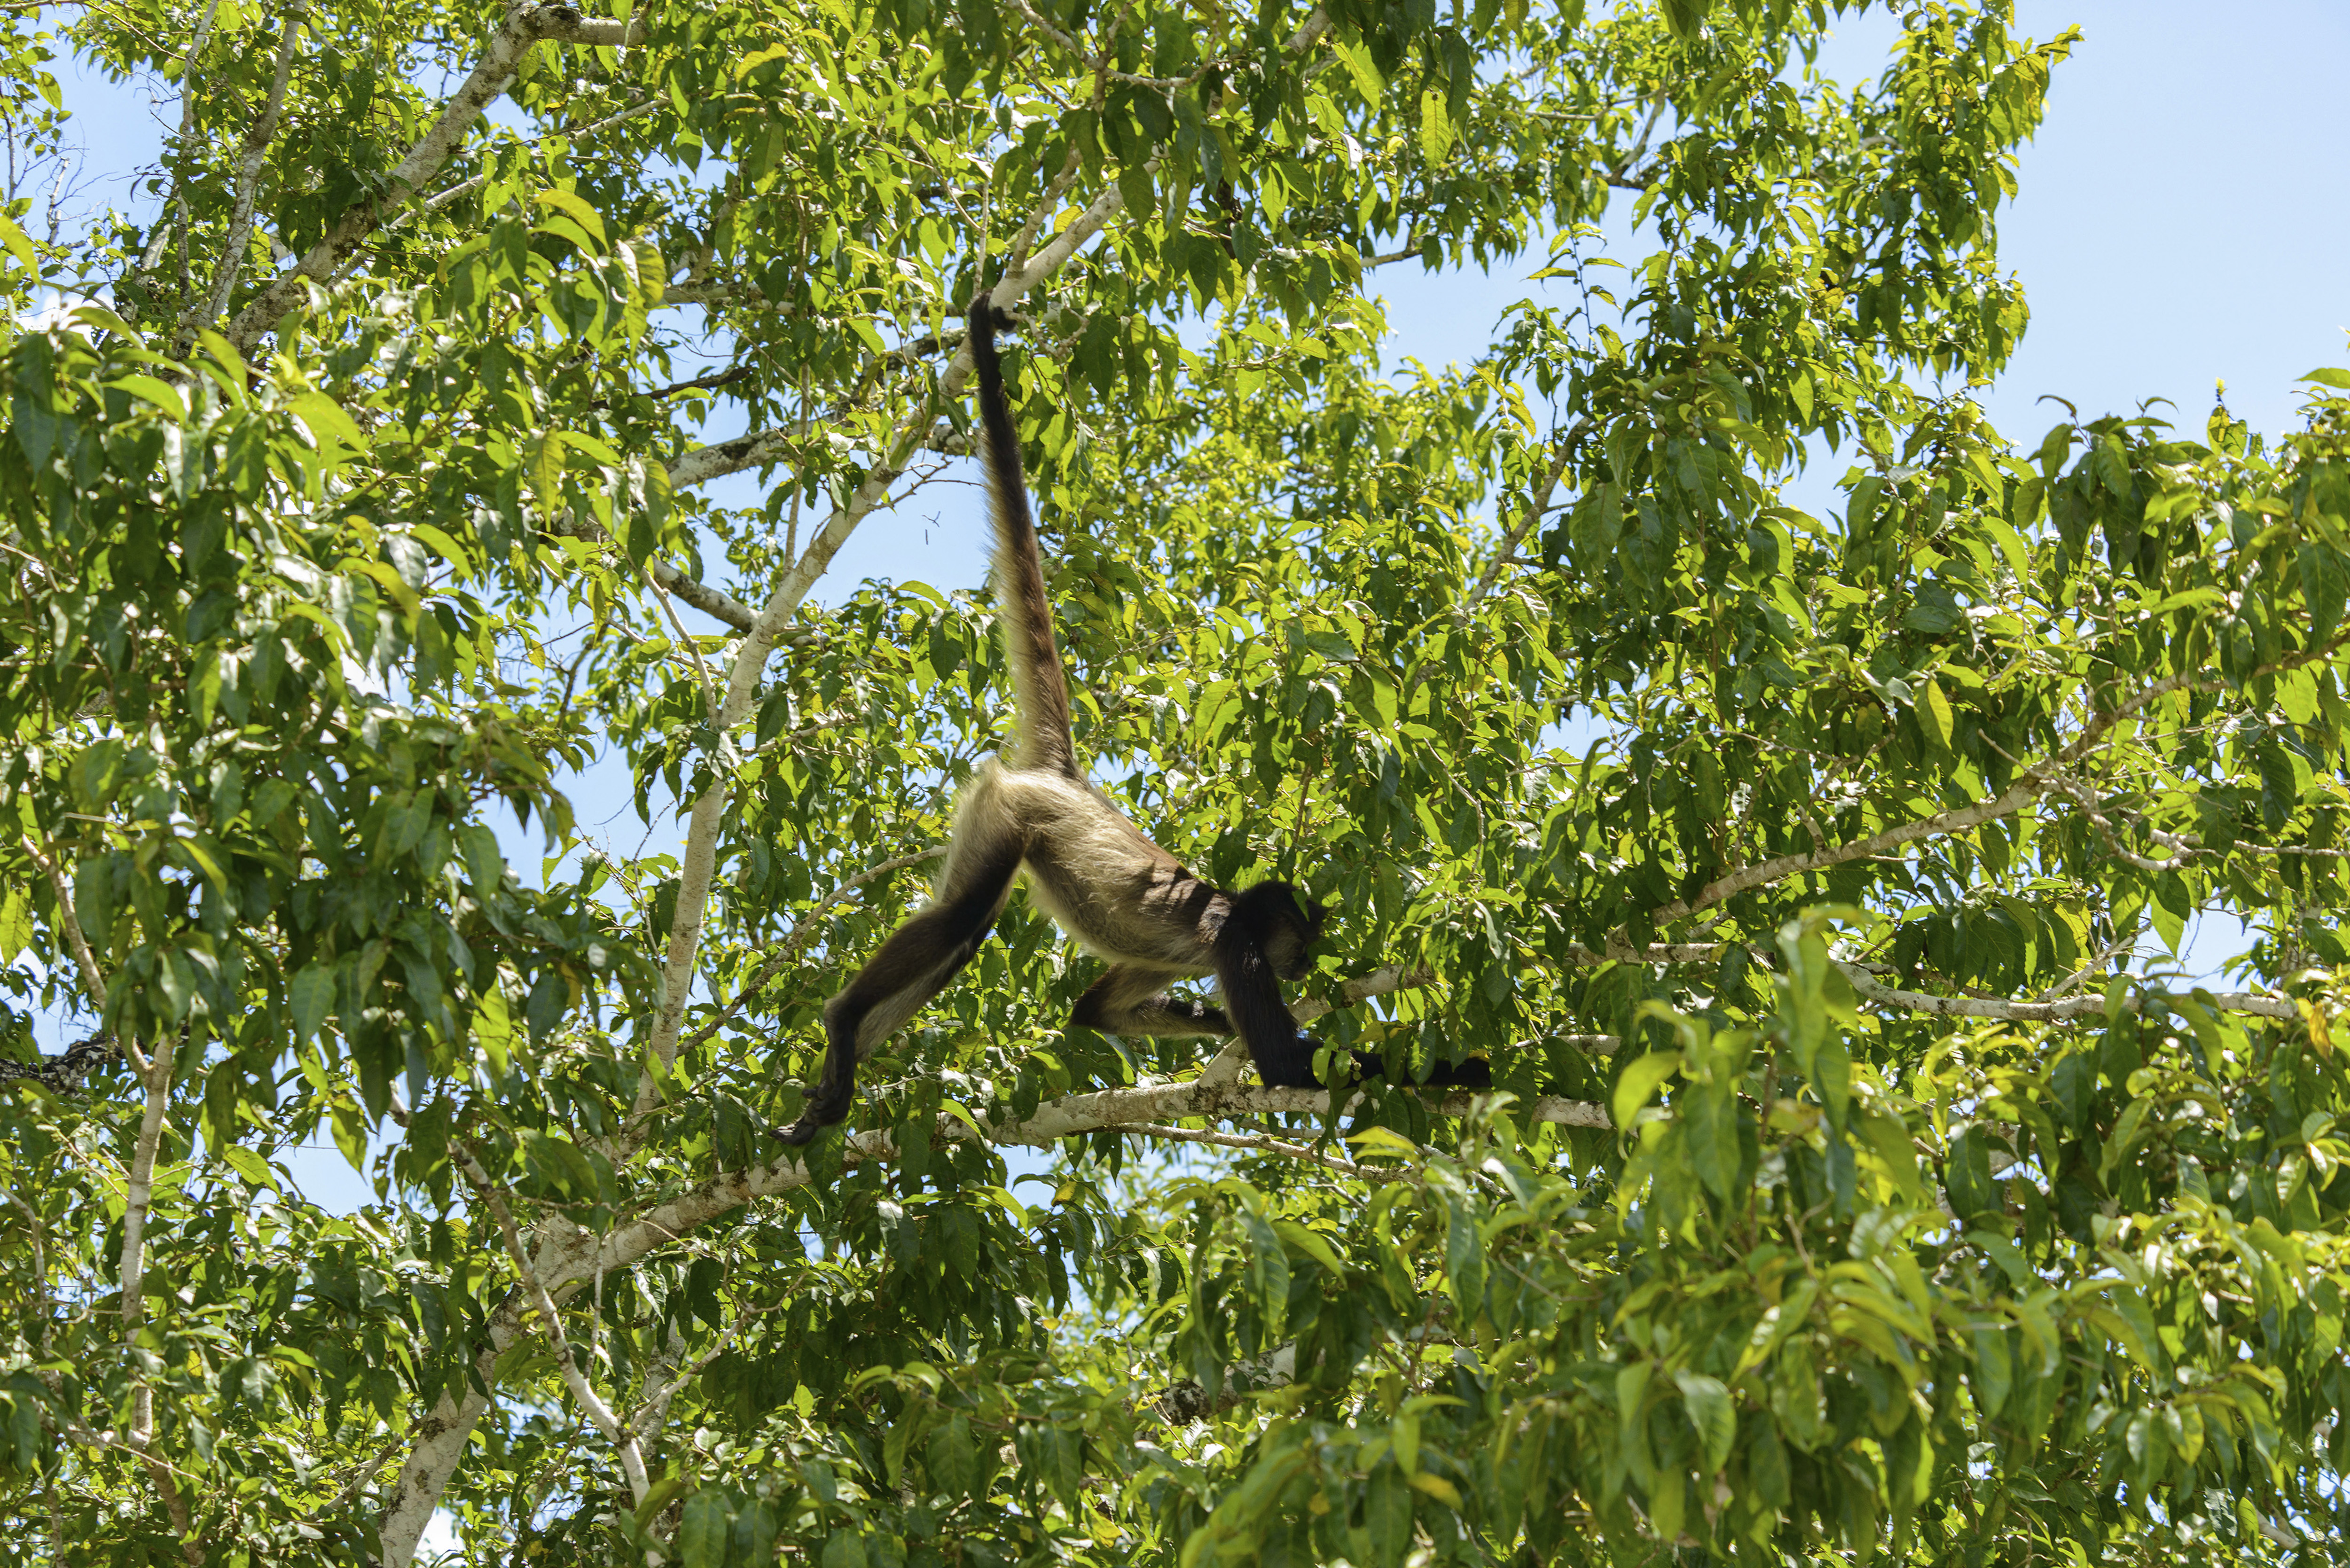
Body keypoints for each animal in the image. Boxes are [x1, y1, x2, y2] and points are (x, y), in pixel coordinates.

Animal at [780, 285, 1495, 1142]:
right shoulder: (1232, 943)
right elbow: (1285, 1067)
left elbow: (1094, 1013)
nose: (1308, 966)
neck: (1231, 906)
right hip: (1010, 813)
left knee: (965, 934)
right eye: (1300, 943)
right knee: (961, 920)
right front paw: (1466, 1068)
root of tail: (1068, 779)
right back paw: (842, 1021)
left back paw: (834, 1085)